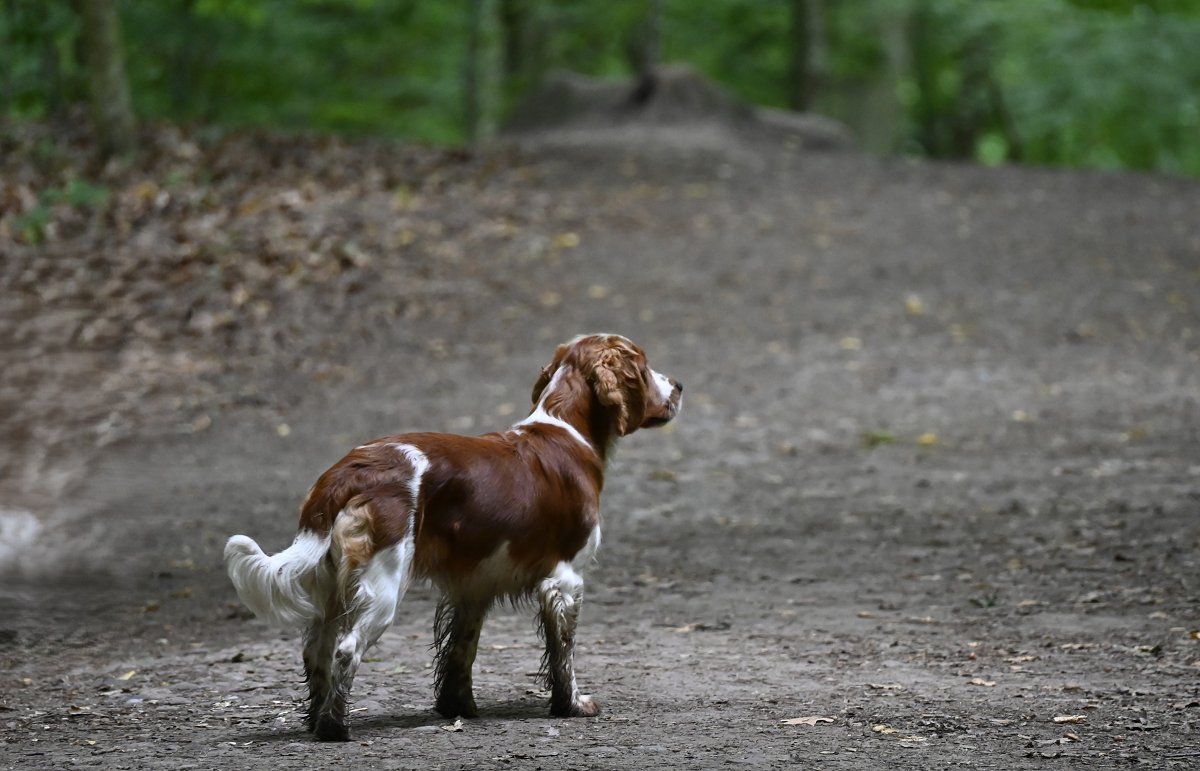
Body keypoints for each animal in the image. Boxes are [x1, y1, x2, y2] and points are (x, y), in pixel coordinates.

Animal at [225, 334, 682, 741]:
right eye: (643, 366)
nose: (679, 385)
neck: (567, 431)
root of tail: (345, 472)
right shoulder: (565, 580)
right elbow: (563, 654)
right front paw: (572, 705)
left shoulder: (472, 586)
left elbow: (461, 651)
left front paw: (458, 707)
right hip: (382, 585)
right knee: (345, 650)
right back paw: (336, 729)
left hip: (330, 586)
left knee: (316, 651)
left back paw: (317, 720)